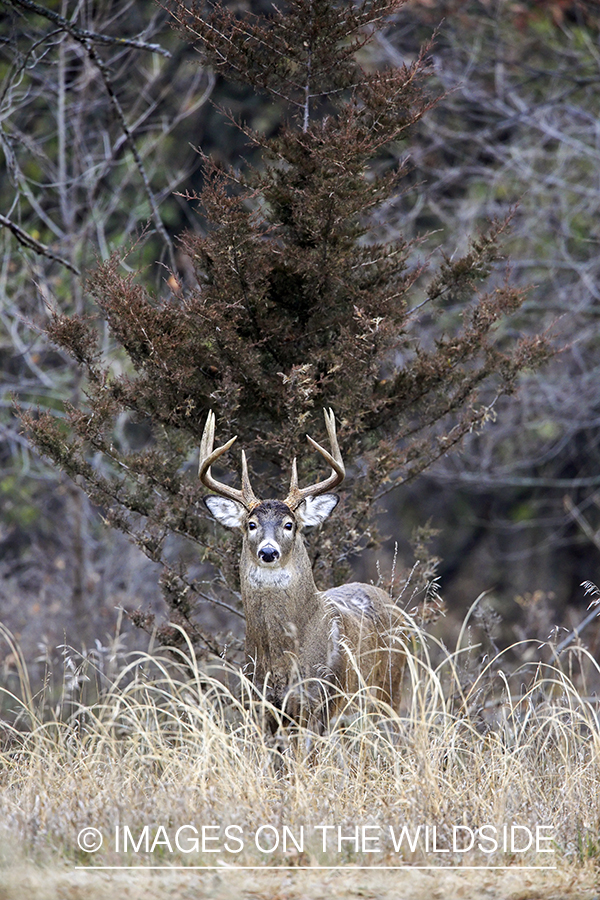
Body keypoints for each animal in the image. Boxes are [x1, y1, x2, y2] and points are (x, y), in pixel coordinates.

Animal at [199, 408, 406, 732]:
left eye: (289, 524)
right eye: (251, 524)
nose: (268, 552)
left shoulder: (319, 700)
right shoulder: (259, 704)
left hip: (390, 689)